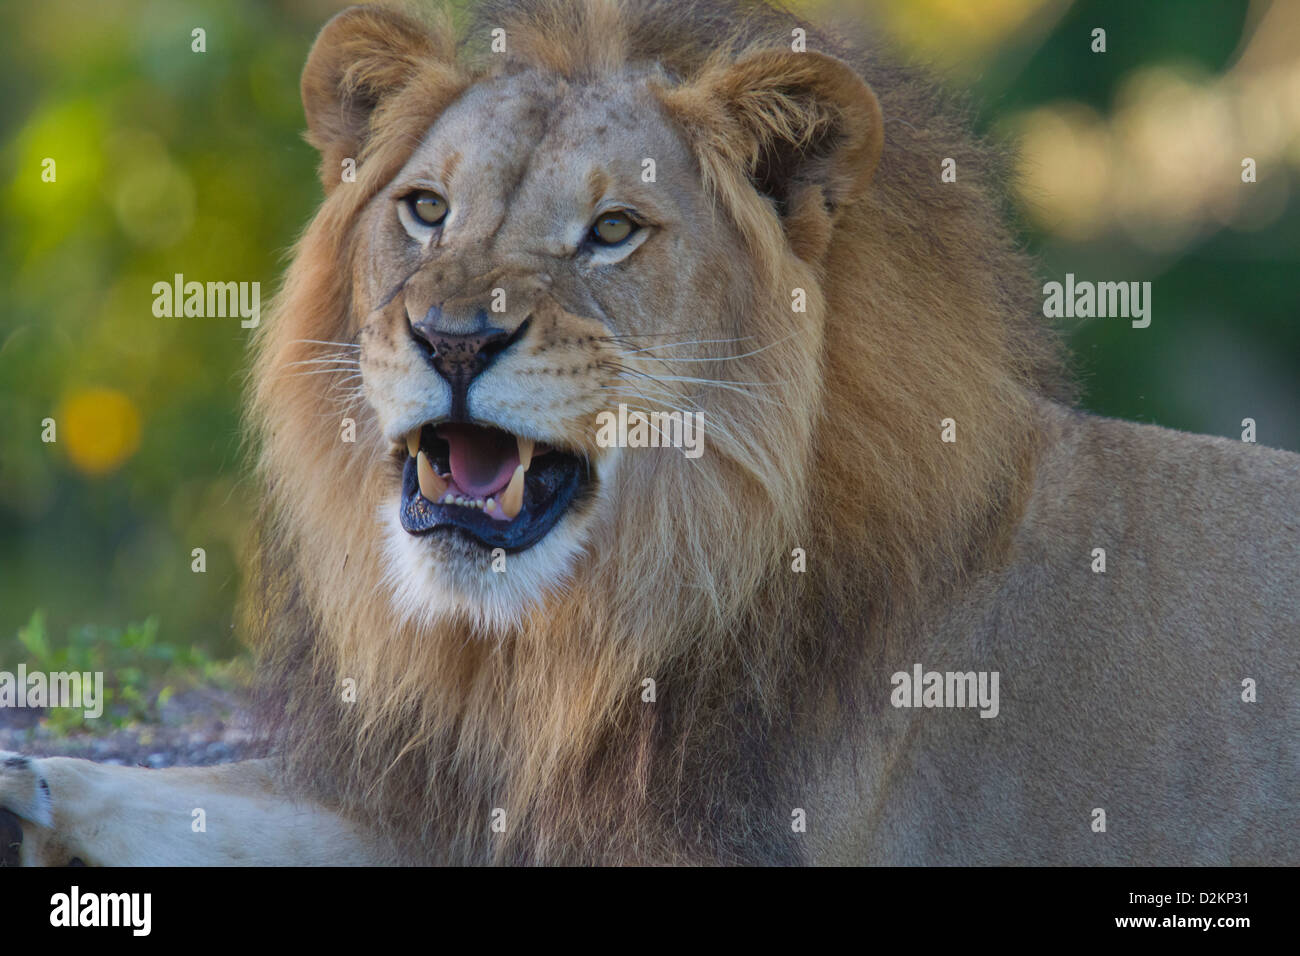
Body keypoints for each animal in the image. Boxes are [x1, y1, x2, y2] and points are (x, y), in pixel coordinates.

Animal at [2, 0, 1297, 866]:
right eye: (425, 209)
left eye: (614, 229)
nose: (454, 339)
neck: (581, 633)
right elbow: (226, 794)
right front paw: (34, 789)